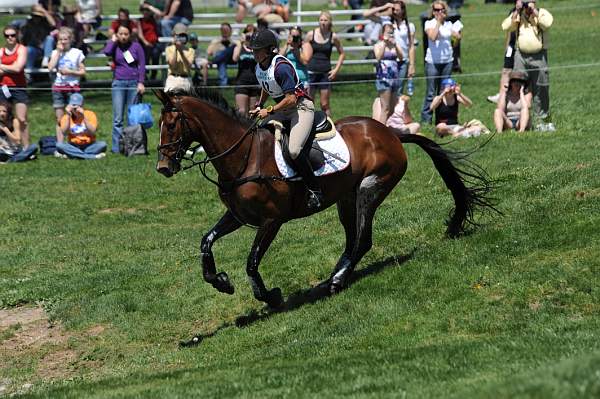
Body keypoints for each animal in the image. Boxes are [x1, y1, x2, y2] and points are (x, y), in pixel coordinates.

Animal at [156, 90, 496, 310]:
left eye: (171, 125)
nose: (163, 168)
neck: (243, 157)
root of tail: (391, 133)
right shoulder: (238, 216)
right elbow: (206, 241)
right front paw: (220, 281)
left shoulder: (271, 221)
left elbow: (251, 263)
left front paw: (271, 296)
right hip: (346, 198)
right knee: (352, 239)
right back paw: (331, 279)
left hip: (370, 188)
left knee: (363, 240)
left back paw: (337, 282)